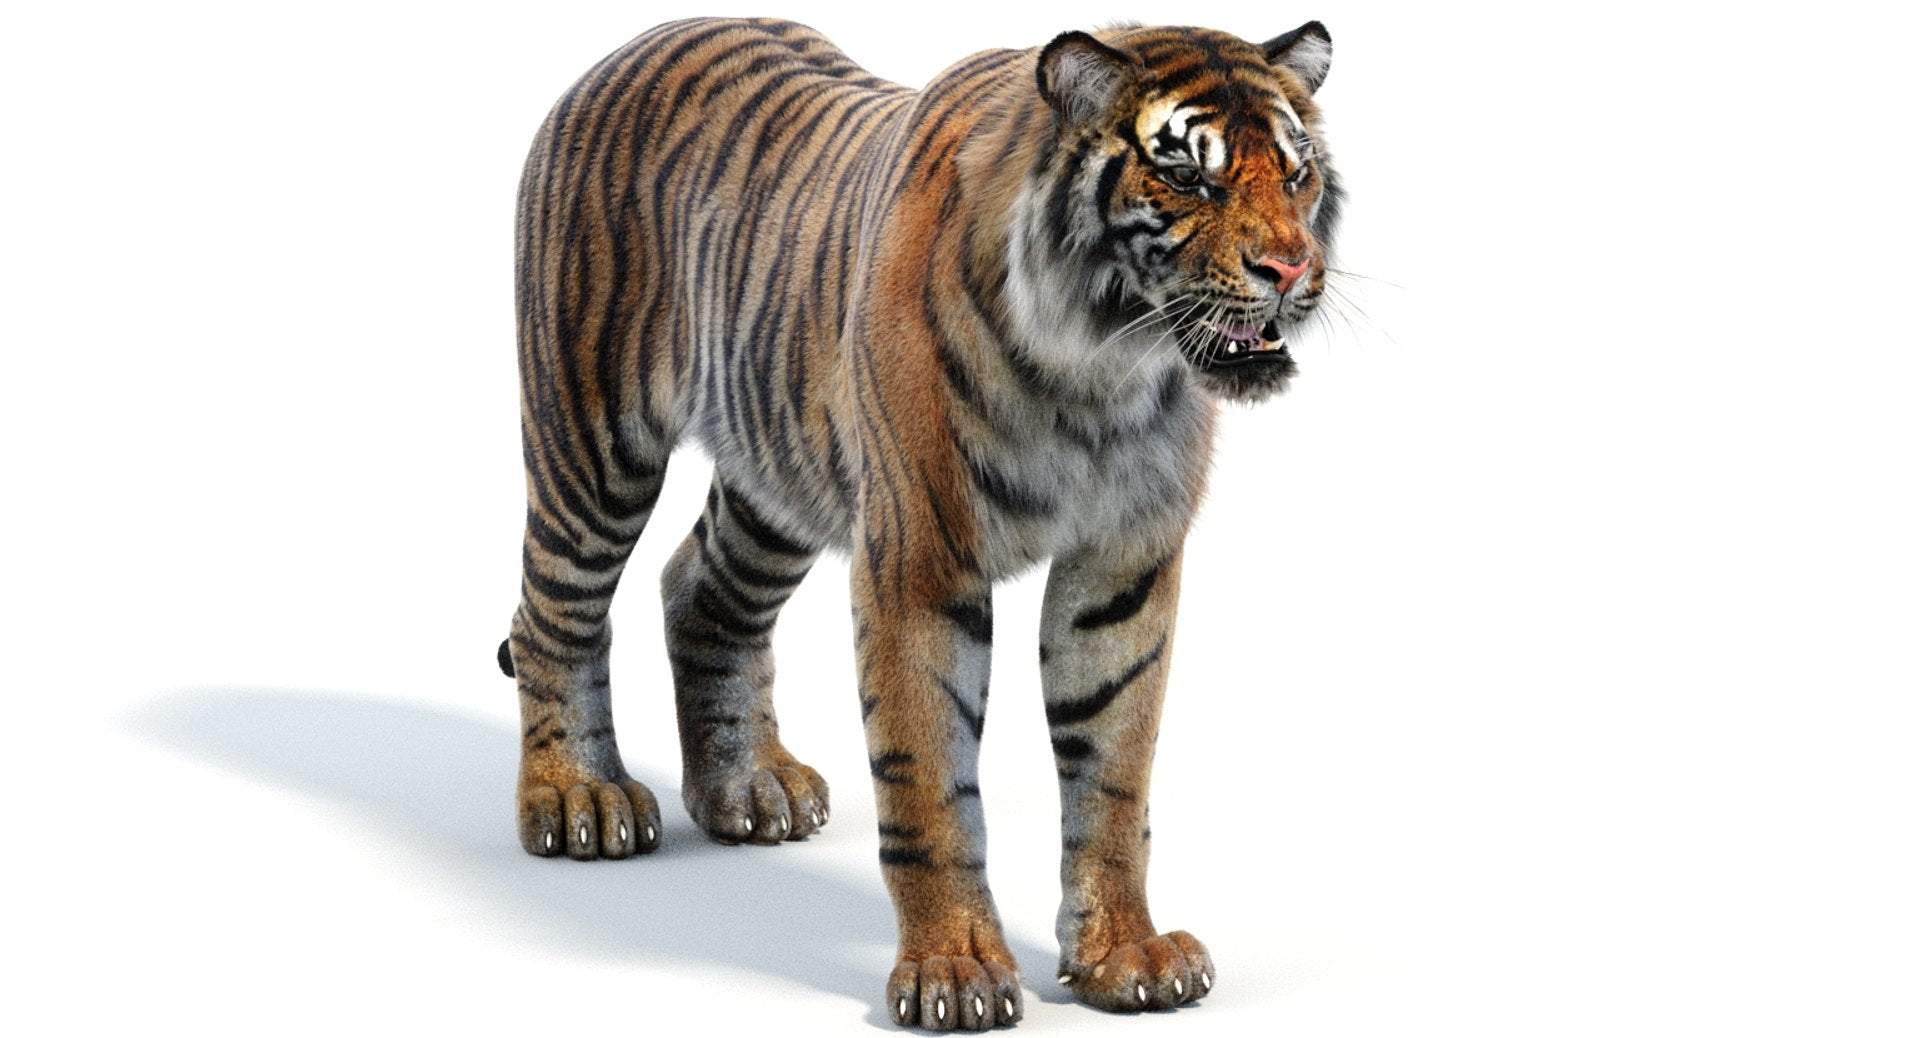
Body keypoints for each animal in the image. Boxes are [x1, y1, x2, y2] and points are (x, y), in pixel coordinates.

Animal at [497, 16, 1342, 1030]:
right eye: (1187, 177)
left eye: (1297, 175)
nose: (1291, 269)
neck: (1103, 367)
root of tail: (631, 46)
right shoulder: (919, 562)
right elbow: (929, 783)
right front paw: (955, 972)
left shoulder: (1123, 565)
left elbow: (1112, 771)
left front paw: (1123, 958)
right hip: (593, 437)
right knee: (553, 614)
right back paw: (579, 798)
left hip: (780, 475)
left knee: (698, 591)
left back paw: (747, 787)